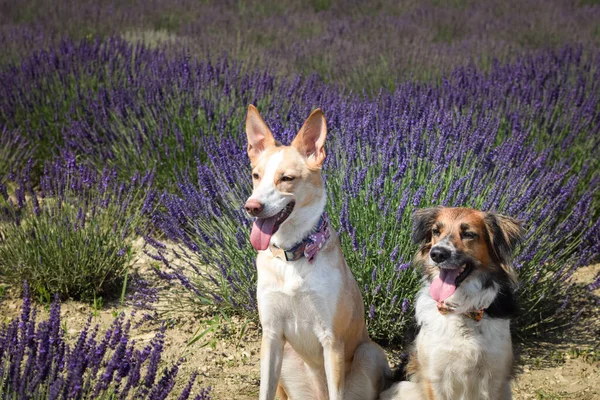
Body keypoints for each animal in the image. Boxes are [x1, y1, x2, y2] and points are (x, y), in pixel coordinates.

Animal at [245, 105, 392, 400]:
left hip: (369, 353)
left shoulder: (332, 340)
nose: (251, 207)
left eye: (286, 178)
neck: (294, 255)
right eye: (256, 175)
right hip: (285, 357)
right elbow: (264, 392)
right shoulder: (271, 335)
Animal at [382, 206, 524, 400]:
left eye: (469, 234)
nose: (437, 254)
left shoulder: (495, 379)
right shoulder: (435, 378)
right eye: (436, 231)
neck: (462, 310)